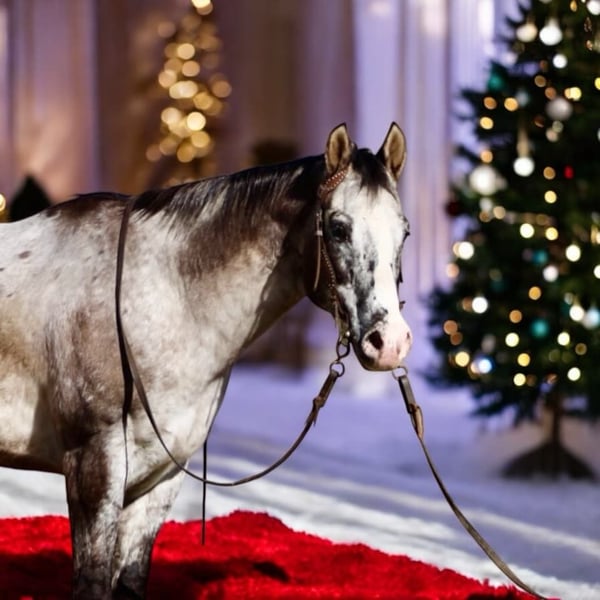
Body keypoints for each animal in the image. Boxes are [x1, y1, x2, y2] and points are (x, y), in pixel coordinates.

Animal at [0, 122, 412, 598]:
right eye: (339, 228)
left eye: (404, 232)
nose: (390, 343)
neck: (160, 298)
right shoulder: (93, 465)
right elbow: (94, 583)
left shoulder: (161, 476)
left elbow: (130, 579)